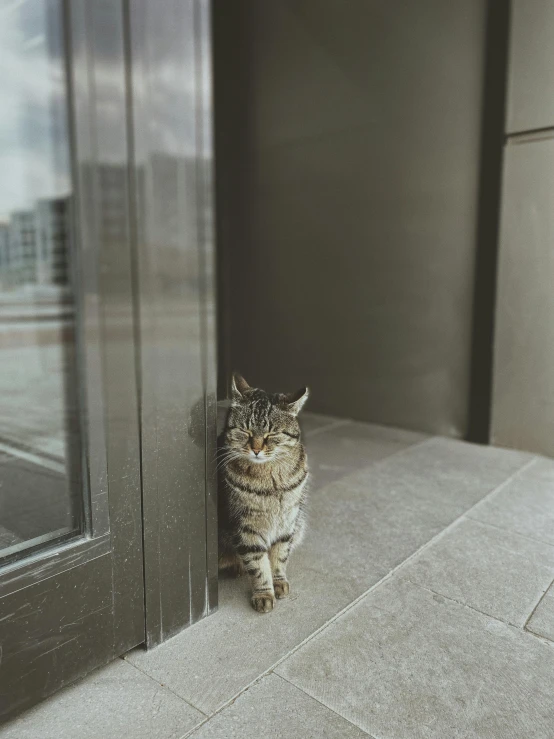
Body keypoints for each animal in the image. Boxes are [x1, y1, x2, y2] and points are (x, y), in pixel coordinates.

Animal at [218, 376, 308, 612]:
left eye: (272, 434)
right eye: (245, 431)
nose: (256, 450)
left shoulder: (287, 523)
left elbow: (279, 556)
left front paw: (278, 581)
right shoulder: (245, 527)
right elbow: (258, 564)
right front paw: (264, 593)